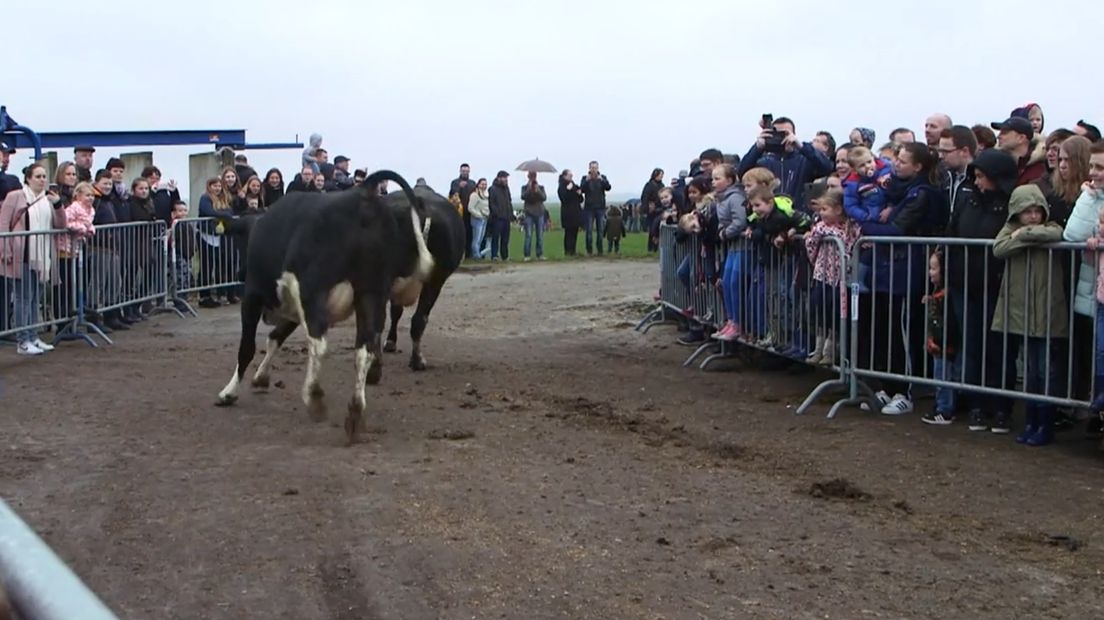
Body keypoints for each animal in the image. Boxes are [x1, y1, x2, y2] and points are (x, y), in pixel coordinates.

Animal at [215, 168, 434, 439]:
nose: (237, 271)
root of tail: (362, 192)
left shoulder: (255, 296)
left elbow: (247, 347)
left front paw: (229, 391)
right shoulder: (293, 307)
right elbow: (275, 337)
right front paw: (261, 376)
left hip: (315, 292)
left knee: (320, 344)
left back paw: (314, 397)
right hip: (371, 294)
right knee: (364, 349)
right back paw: (355, 411)